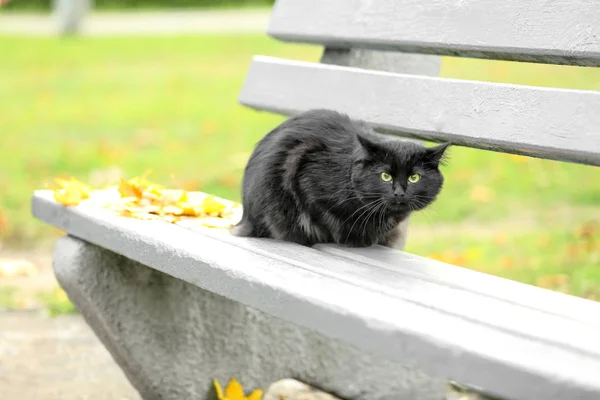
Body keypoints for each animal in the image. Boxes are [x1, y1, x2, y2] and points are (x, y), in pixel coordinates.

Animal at [232, 109, 448, 247]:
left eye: (414, 177)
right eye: (385, 176)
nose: (399, 193)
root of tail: (245, 218)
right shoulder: (309, 186)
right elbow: (326, 218)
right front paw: (355, 239)